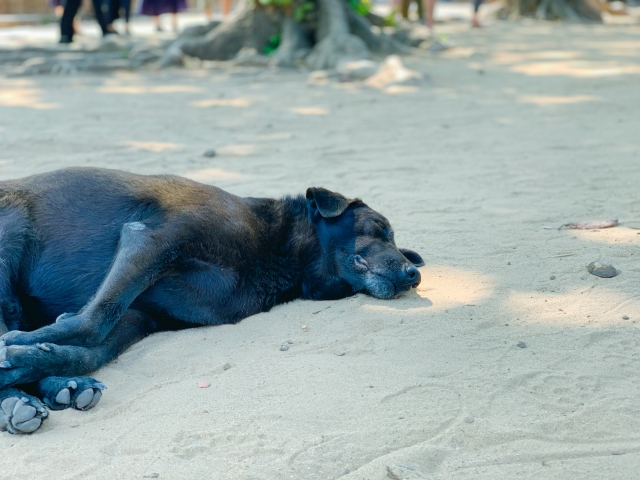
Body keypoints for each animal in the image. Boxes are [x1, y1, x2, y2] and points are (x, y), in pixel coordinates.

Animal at [0, 167, 422, 434]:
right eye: (380, 229)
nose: (414, 274)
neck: (278, 251)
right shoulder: (149, 241)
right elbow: (93, 320)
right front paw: (18, 349)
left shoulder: (142, 316)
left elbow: (84, 348)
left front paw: (32, 358)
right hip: (10, 246)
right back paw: (19, 400)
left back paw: (50, 390)